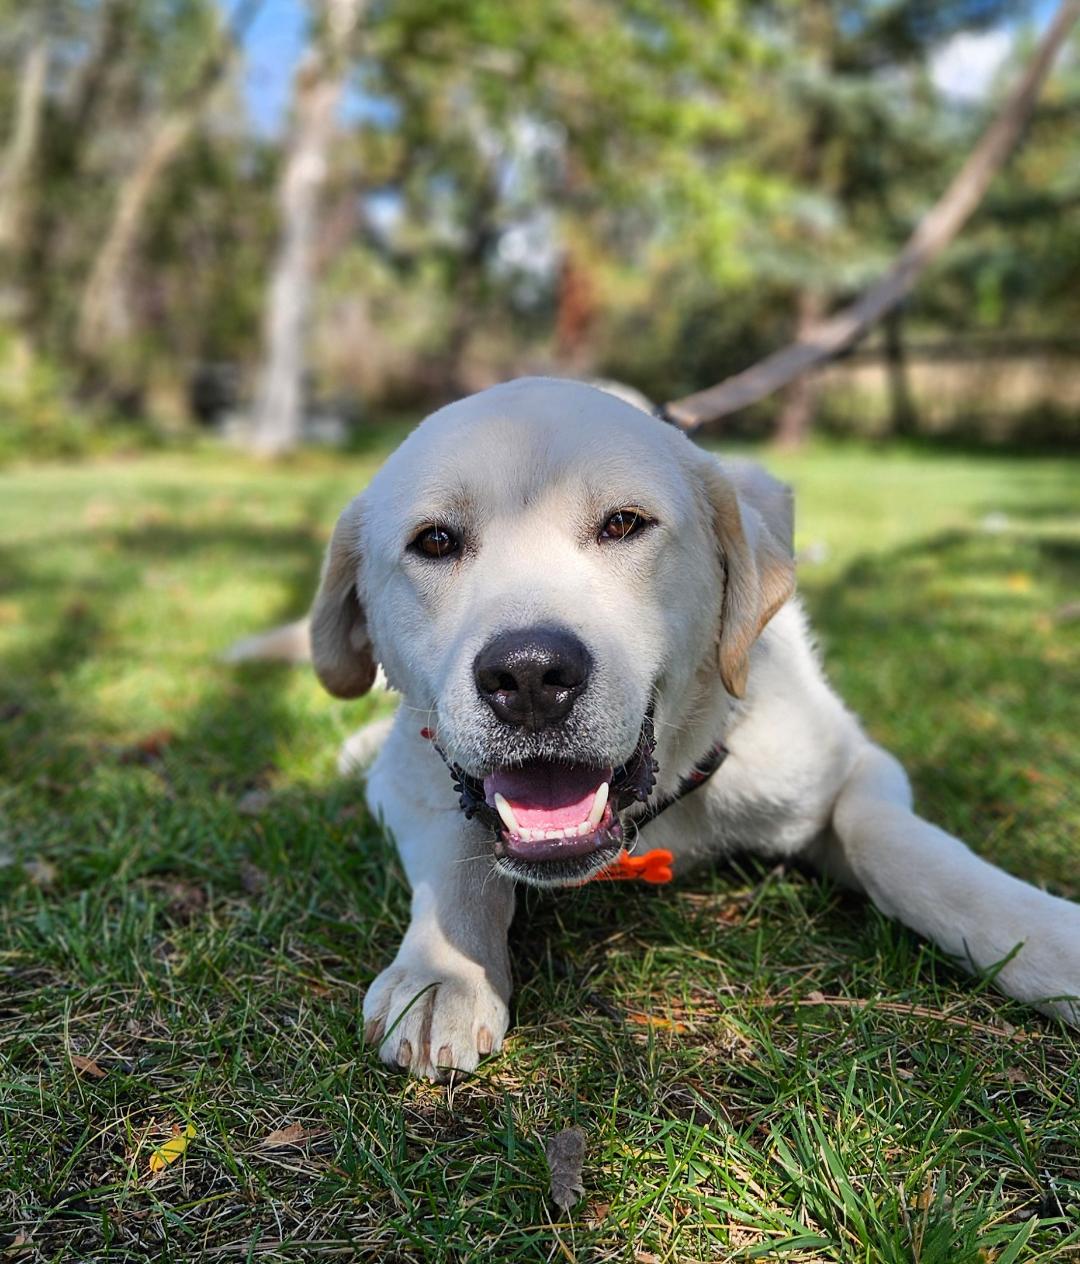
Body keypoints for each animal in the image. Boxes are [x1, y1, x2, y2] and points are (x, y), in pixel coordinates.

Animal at [254, 374, 1080, 1076]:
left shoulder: (850, 761)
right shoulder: (412, 782)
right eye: (434, 541)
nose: (530, 676)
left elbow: (895, 848)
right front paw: (442, 973)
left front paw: (1045, 939)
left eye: (624, 524)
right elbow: (460, 845)